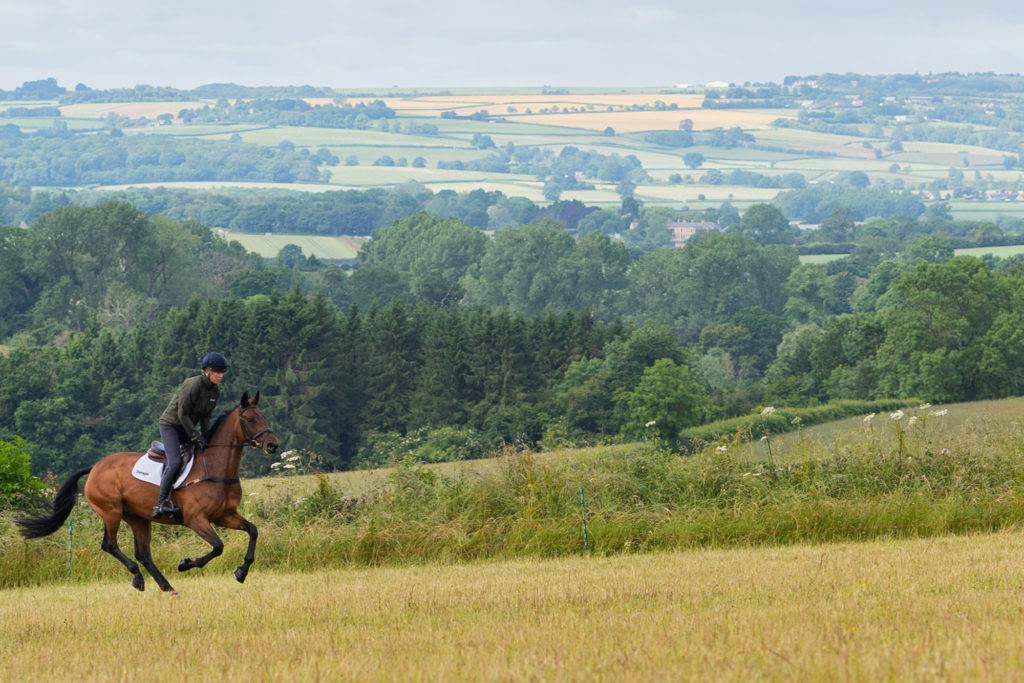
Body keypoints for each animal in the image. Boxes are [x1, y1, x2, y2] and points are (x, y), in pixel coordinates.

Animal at [17, 393, 280, 593]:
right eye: (249, 419)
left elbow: (253, 531)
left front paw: (241, 572)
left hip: (138, 518)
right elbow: (218, 546)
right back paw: (138, 578)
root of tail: (94, 468)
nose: (272, 445)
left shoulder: (225, 516)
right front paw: (185, 563)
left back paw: (167, 587)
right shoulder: (196, 519)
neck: (215, 467)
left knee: (143, 554)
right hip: (111, 512)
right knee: (110, 545)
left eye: (264, 417)